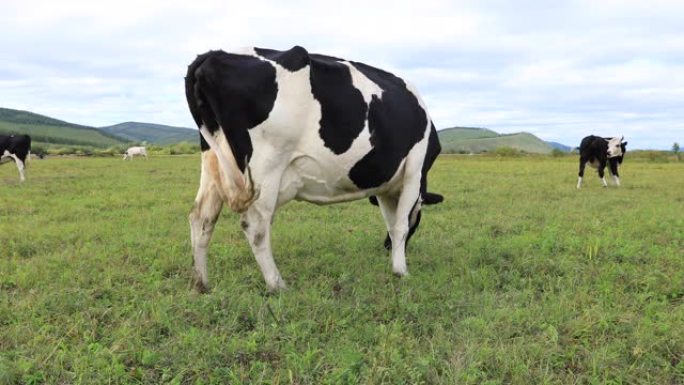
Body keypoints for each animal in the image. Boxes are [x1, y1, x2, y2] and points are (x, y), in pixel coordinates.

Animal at [186, 45, 444, 292]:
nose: (385, 247)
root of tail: (213, 55)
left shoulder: (384, 189)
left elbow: (391, 222)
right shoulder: (414, 171)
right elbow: (400, 224)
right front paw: (401, 271)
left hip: (213, 161)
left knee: (202, 219)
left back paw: (201, 283)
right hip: (266, 165)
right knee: (256, 227)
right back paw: (277, 284)